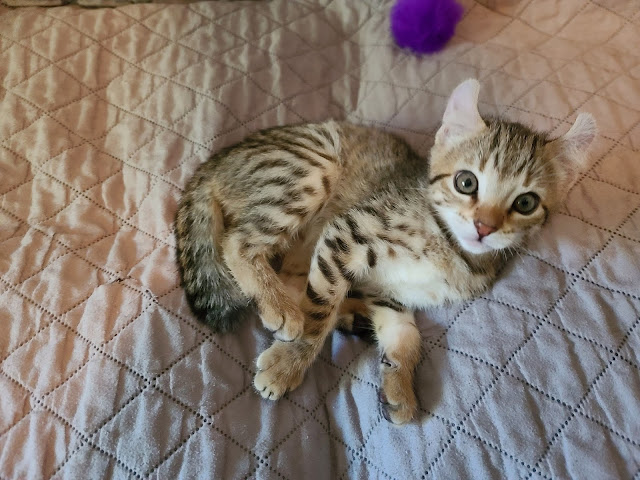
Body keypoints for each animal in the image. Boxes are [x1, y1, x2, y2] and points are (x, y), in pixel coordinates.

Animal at [175, 79, 596, 424]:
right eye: (466, 182)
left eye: (526, 203)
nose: (484, 227)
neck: (449, 247)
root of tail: (212, 164)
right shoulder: (348, 233)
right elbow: (317, 313)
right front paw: (289, 363)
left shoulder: (389, 291)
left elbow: (406, 336)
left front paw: (400, 386)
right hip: (311, 167)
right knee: (239, 243)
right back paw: (282, 308)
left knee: (293, 278)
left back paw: (347, 317)